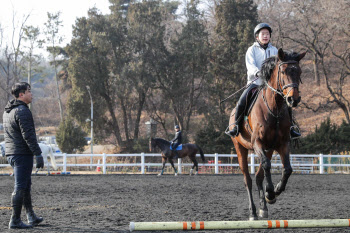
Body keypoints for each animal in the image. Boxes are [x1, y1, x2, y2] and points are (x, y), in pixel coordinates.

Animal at [228, 48, 304, 220]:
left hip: (268, 149)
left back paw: (263, 208)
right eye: (283, 71)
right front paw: (270, 193)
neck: (274, 108)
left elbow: (287, 169)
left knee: (258, 176)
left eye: (299, 71)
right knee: (248, 179)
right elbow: (267, 166)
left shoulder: (282, 144)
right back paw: (253, 212)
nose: (293, 99)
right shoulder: (258, 143)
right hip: (240, 148)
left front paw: (275, 192)